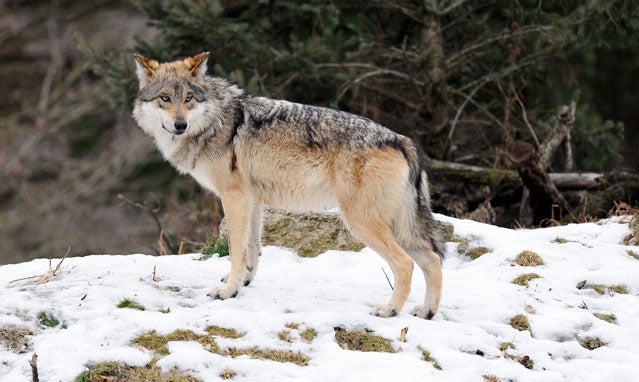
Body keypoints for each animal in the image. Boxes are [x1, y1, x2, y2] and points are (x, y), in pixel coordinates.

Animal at [133, 51, 448, 320]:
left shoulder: (234, 197)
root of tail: (400, 139)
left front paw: (227, 291)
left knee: (406, 263)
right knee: (432, 260)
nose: (180, 125)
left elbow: (235, 249)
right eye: (164, 98)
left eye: (188, 99)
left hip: (362, 222)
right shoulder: (252, 199)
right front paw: (244, 281)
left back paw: (389, 310)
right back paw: (427, 312)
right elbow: (251, 248)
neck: (216, 121)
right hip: (398, 225)